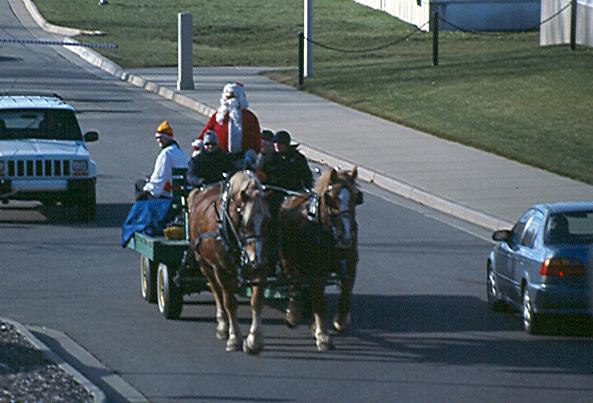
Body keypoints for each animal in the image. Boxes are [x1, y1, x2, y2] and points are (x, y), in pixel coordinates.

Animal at [188, 172, 270, 356]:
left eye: (267, 221)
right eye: (245, 224)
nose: (256, 259)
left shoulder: (261, 269)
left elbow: (257, 302)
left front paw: (254, 340)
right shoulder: (221, 270)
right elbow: (230, 303)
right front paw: (234, 338)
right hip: (204, 264)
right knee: (216, 291)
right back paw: (223, 325)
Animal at [278, 166, 360, 352]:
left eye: (356, 197)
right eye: (331, 199)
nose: (345, 236)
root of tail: (289, 197)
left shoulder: (350, 267)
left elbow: (345, 297)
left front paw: (340, 322)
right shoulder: (316, 271)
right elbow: (320, 303)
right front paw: (323, 336)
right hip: (288, 260)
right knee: (294, 285)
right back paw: (293, 315)